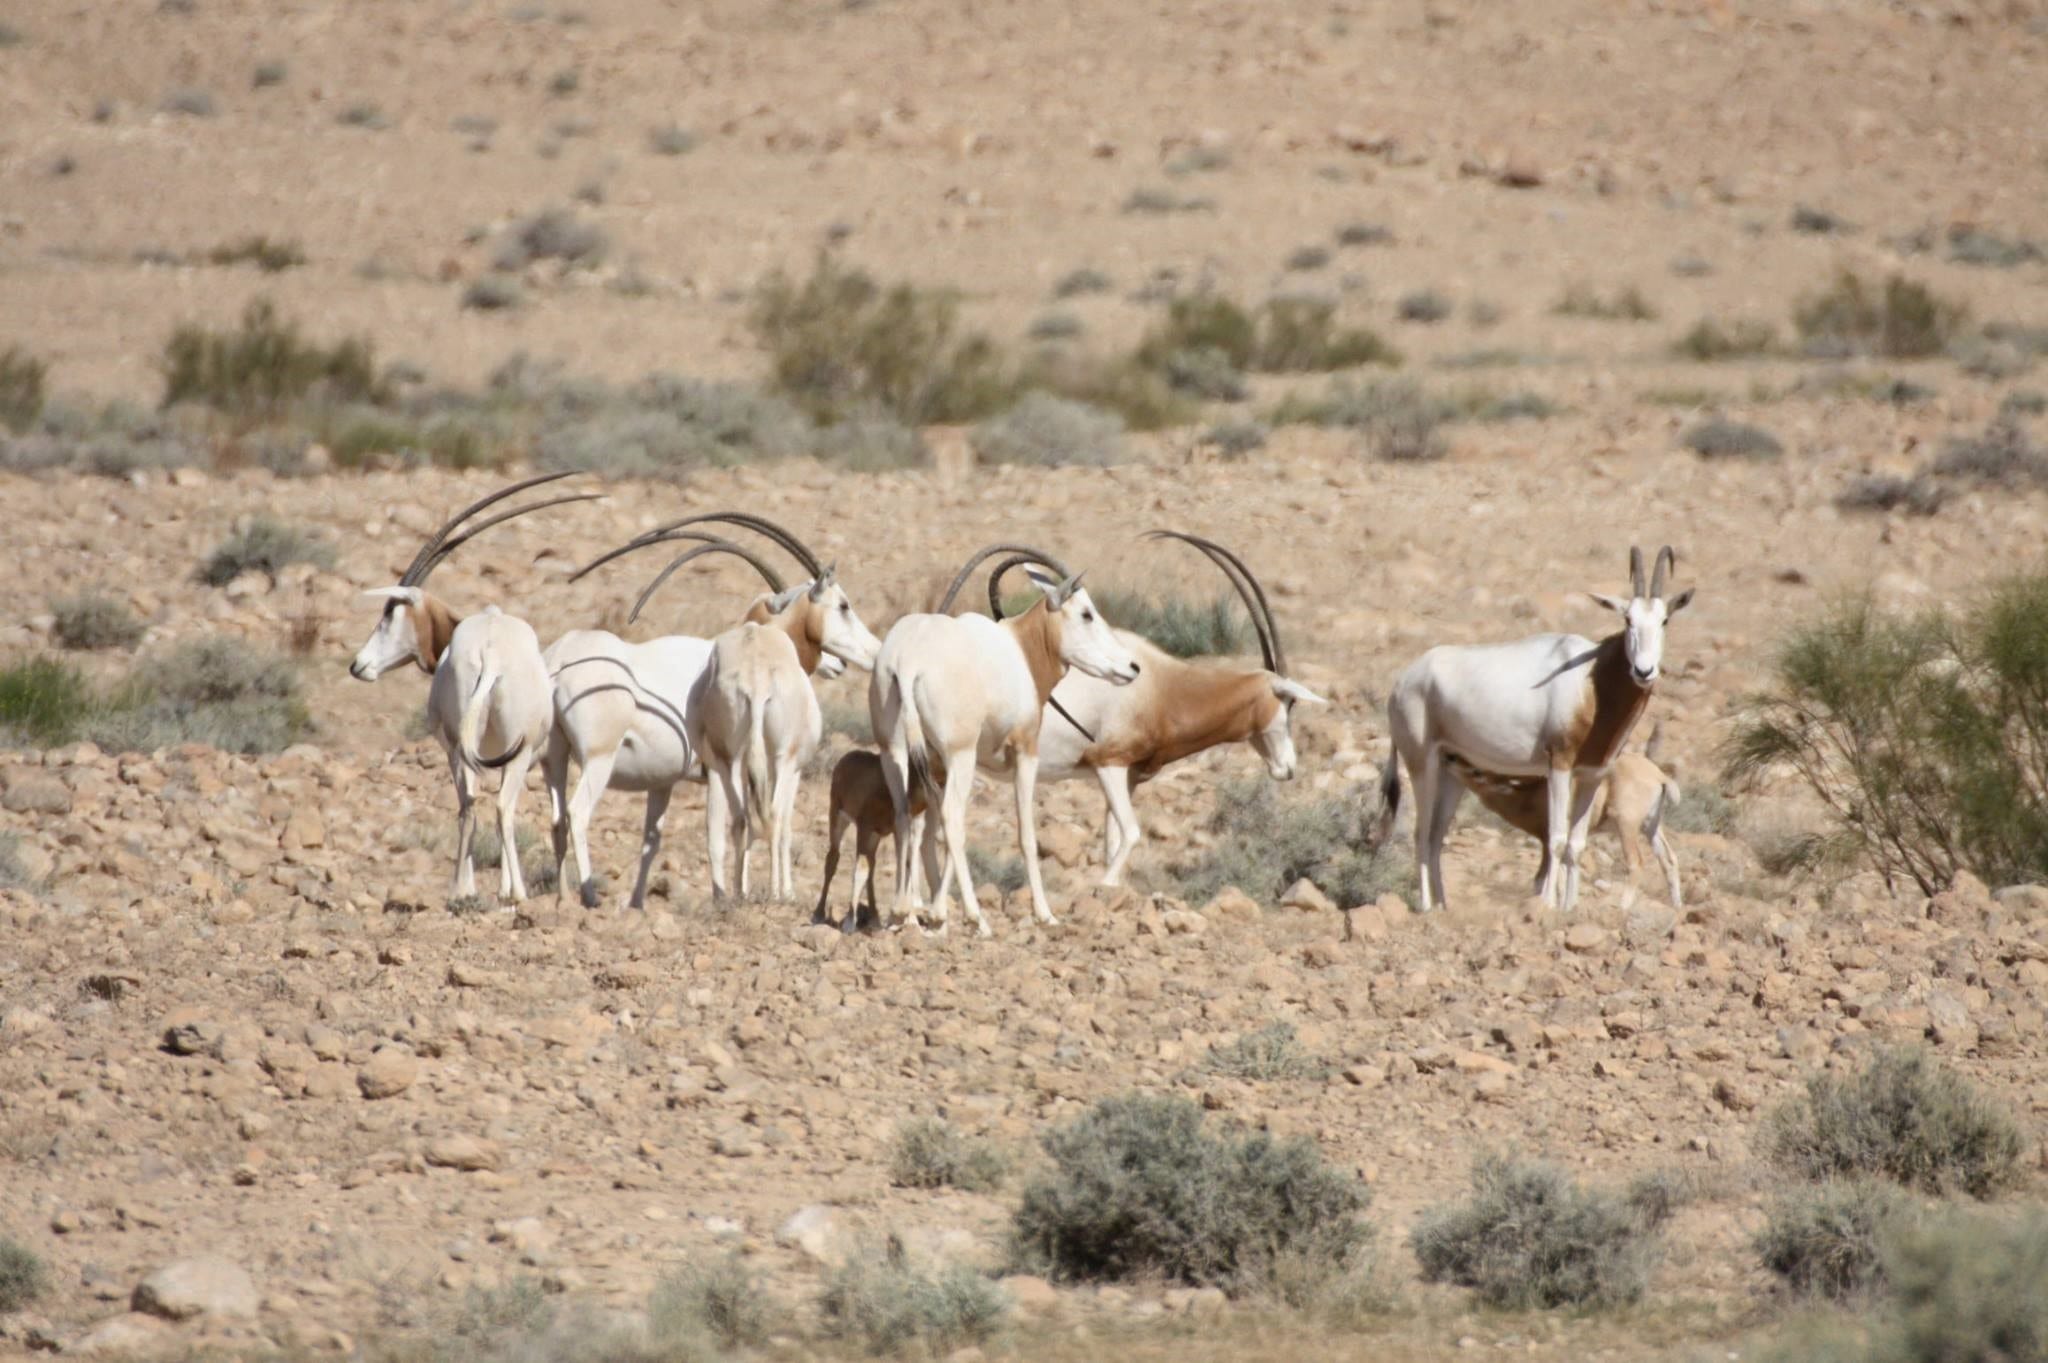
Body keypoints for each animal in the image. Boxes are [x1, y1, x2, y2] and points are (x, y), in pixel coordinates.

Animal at [347, 472, 599, 901]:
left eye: (389, 613)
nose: (358, 666)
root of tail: (490, 651)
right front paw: (498, 887)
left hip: (464, 748)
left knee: (473, 805)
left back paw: (473, 891)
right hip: (514, 752)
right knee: (495, 807)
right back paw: (511, 893)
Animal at [546, 514, 873, 908]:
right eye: (844, 605)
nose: (841, 665)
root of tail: (560, 660)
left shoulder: (676, 780)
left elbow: (660, 839)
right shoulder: (722, 771)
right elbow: (733, 832)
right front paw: (749, 893)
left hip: (553, 755)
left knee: (557, 819)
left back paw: (562, 897)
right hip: (599, 759)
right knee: (578, 814)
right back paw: (590, 895)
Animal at [870, 543, 1141, 937]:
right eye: (1087, 613)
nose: (1132, 667)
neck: (1022, 650)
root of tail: (907, 660)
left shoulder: (935, 766)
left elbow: (928, 829)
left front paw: (934, 915)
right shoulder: (1025, 751)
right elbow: (1026, 834)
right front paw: (1045, 914)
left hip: (894, 751)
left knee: (906, 815)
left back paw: (902, 912)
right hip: (961, 754)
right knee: (952, 817)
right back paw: (976, 918)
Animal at [940, 531, 1326, 887]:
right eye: (1288, 702)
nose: (1288, 768)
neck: (1162, 687)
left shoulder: (1128, 775)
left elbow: (1113, 841)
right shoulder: (1108, 762)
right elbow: (1132, 834)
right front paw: (1103, 887)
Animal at [1381, 545, 1694, 913]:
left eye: (1665, 619)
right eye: (1627, 619)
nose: (1644, 671)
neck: (1591, 679)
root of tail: (1403, 680)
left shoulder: (1593, 773)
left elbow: (1576, 844)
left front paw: (1569, 909)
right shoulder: (1558, 764)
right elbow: (1556, 839)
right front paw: (1547, 905)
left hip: (1450, 771)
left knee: (1434, 836)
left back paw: (1445, 907)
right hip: (1422, 764)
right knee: (1421, 832)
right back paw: (1428, 908)